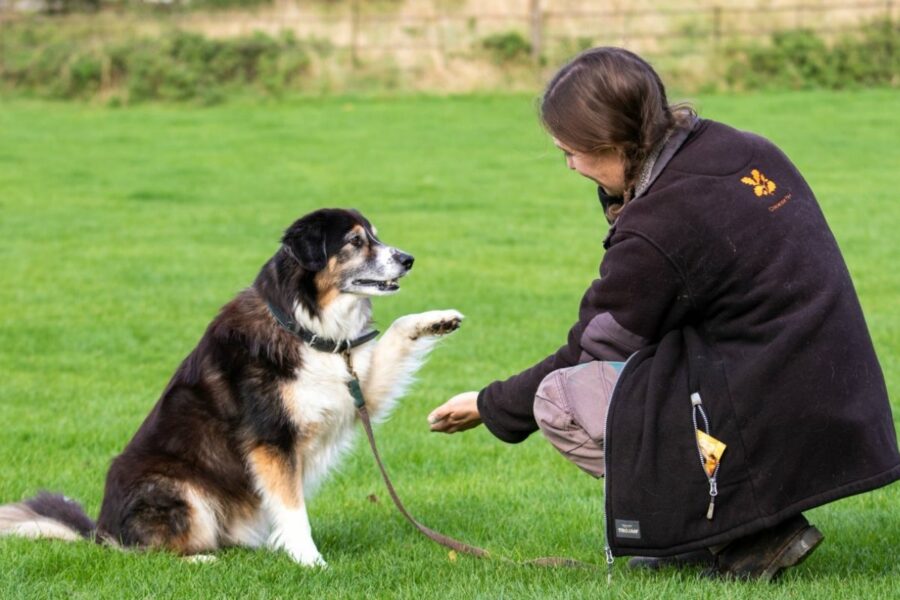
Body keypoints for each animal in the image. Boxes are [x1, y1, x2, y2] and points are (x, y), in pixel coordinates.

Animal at [0, 209, 464, 564]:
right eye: (354, 241)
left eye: (376, 236)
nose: (408, 259)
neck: (301, 325)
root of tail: (99, 530)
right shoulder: (270, 439)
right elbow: (293, 507)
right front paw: (310, 561)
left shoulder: (352, 391)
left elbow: (396, 334)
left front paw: (437, 319)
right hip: (180, 490)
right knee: (147, 552)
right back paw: (202, 559)